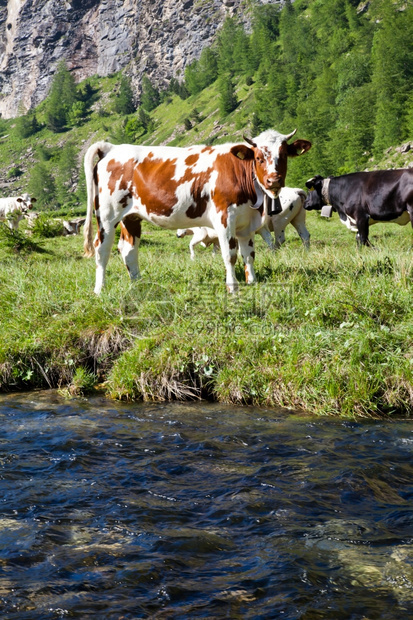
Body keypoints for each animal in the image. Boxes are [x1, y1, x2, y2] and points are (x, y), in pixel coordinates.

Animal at [175, 186, 308, 260]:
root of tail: (295, 190)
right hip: (298, 219)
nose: (177, 235)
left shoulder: (202, 233)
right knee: (304, 235)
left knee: (279, 239)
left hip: (279, 221)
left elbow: (192, 244)